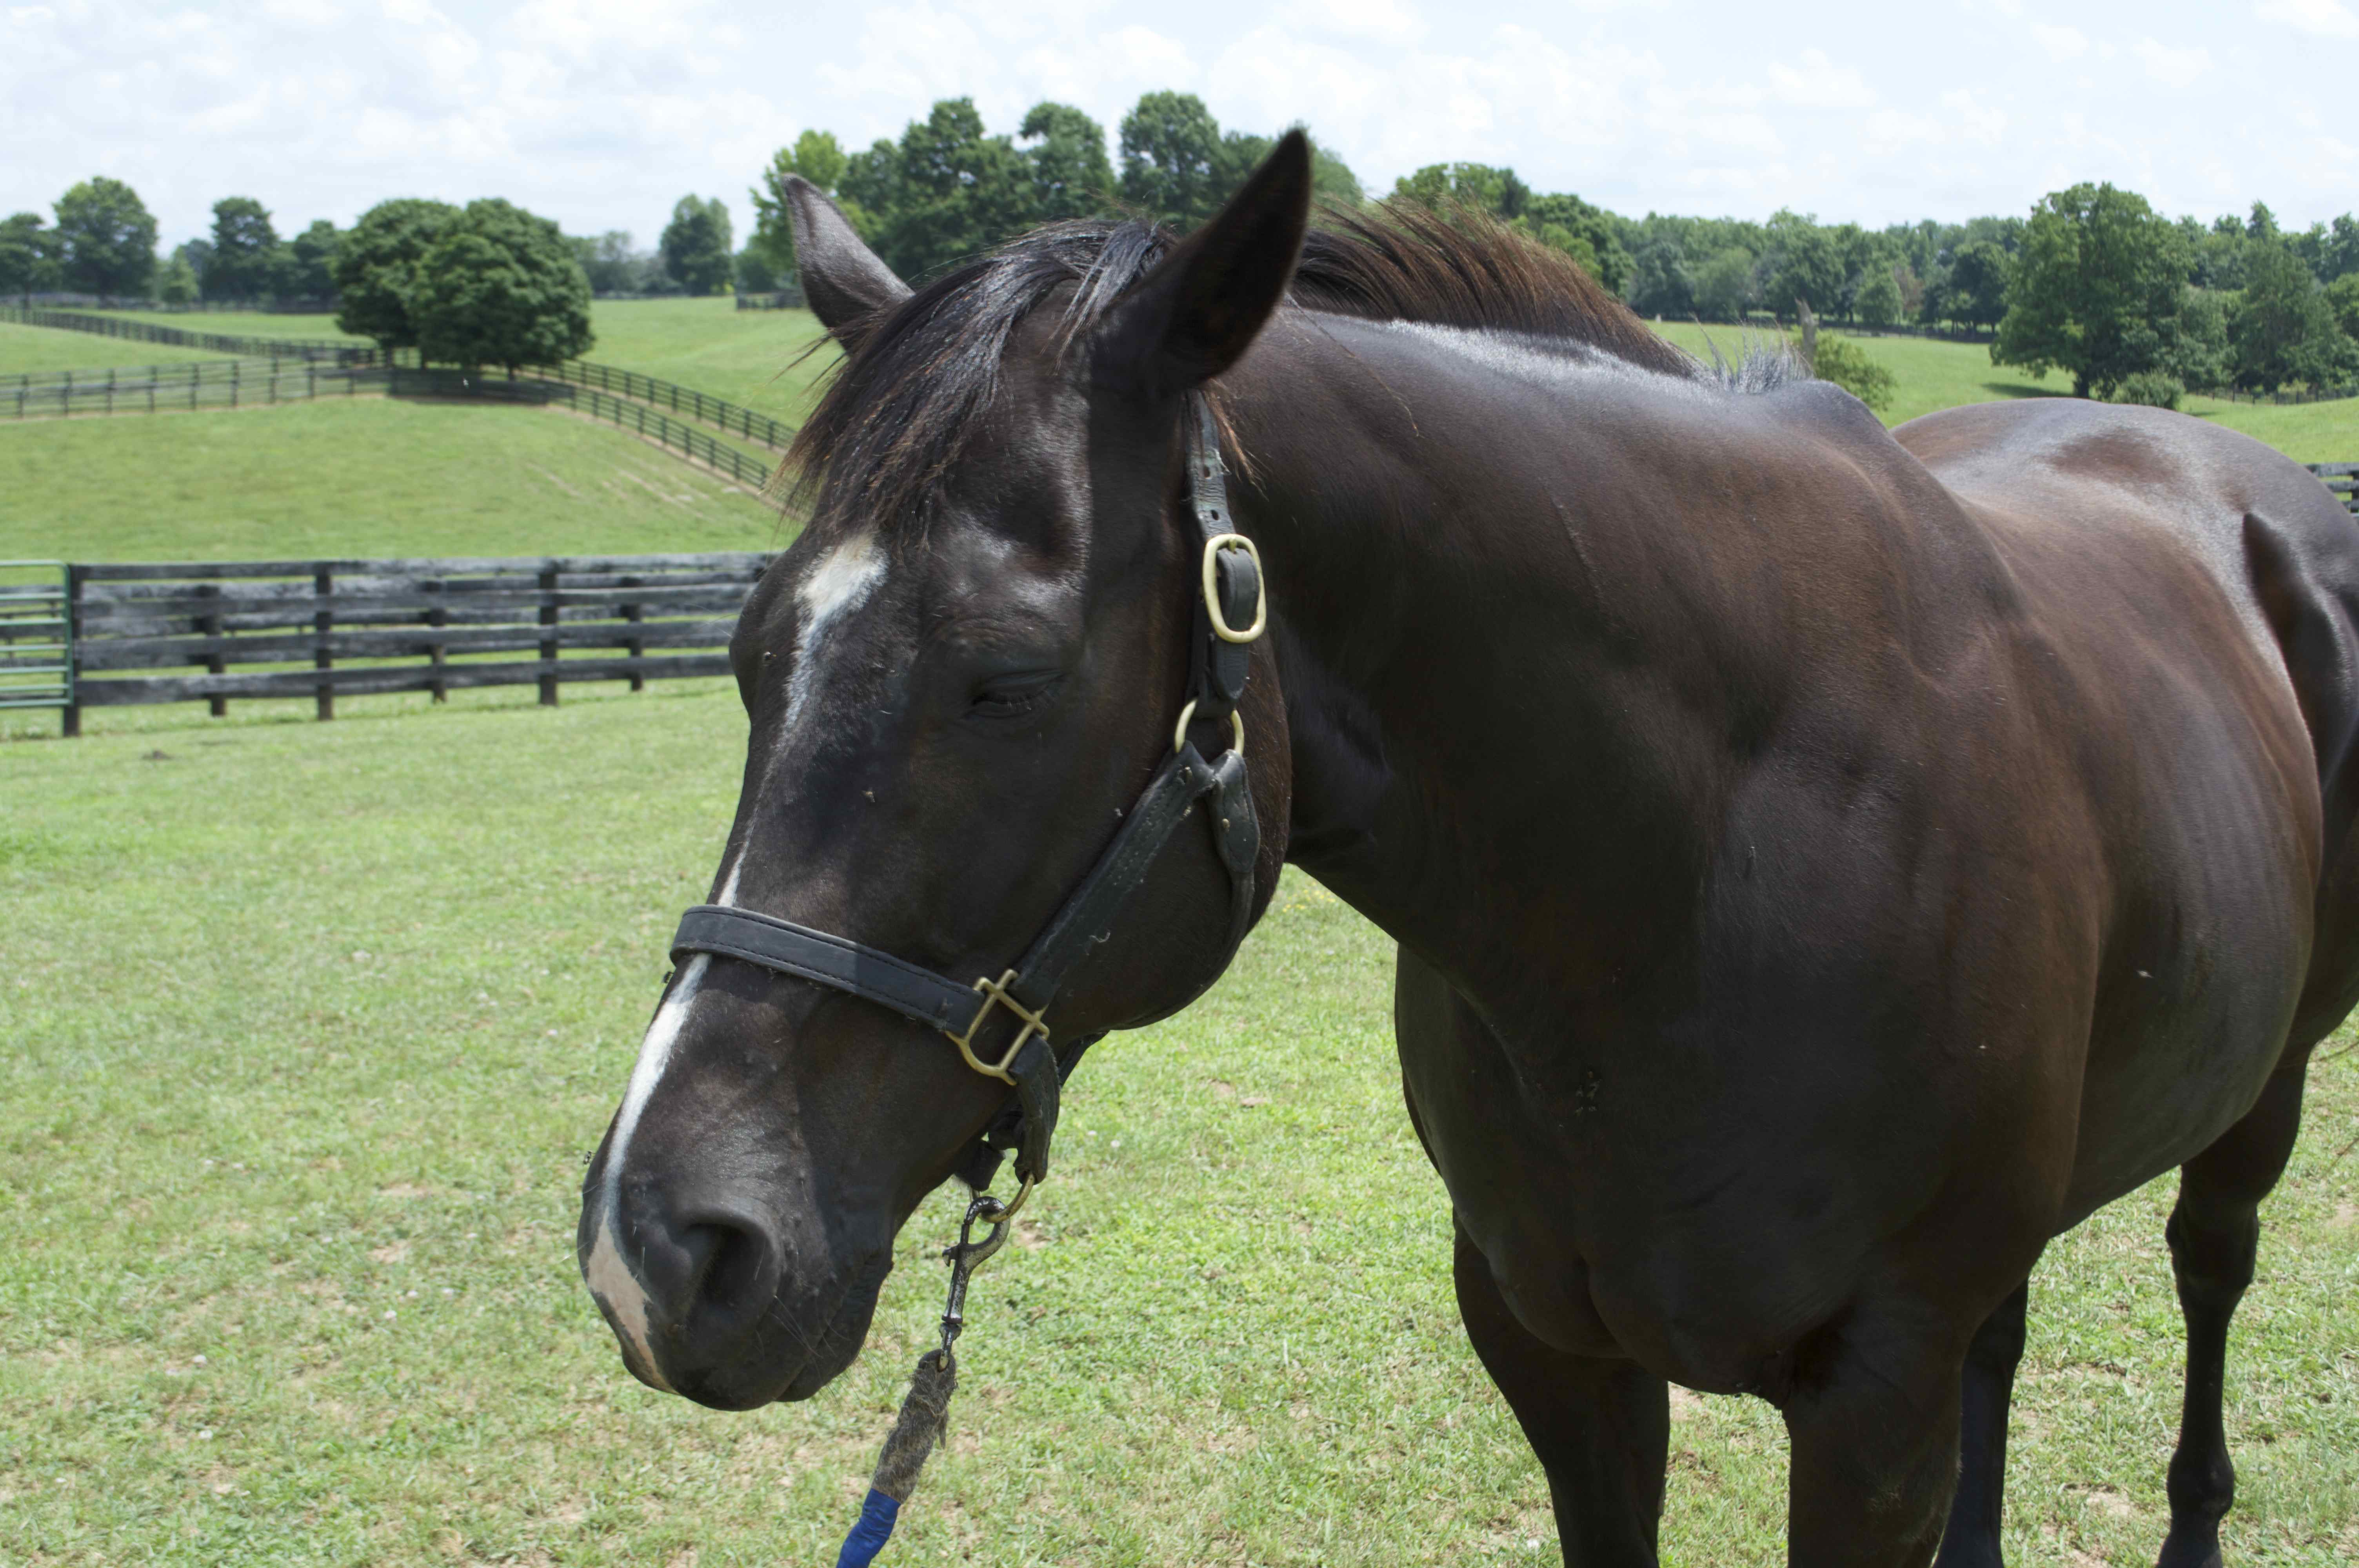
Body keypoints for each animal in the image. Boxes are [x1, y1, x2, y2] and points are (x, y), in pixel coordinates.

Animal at [576, 134, 2359, 1565]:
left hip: (2258, 1094)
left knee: (2209, 1266)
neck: (1708, 871)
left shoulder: (1873, 1402)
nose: (660, 1248)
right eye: (748, 651)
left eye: (1004, 675)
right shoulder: (1554, 1352)